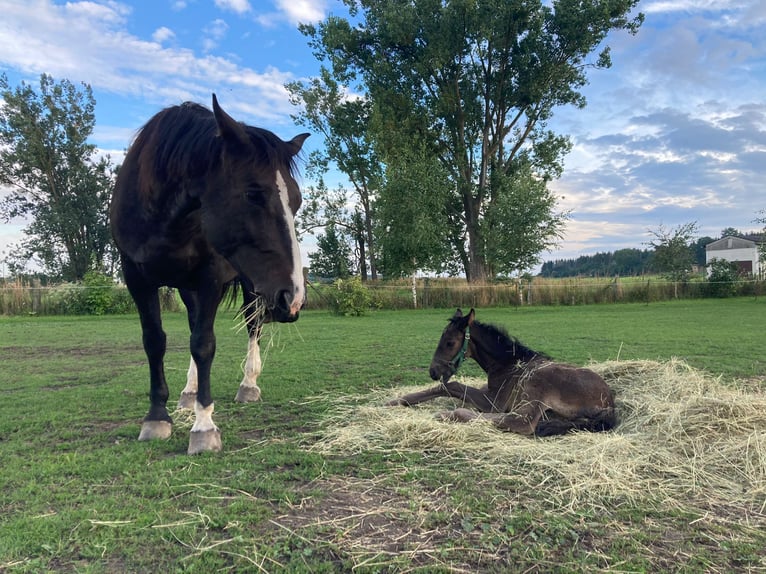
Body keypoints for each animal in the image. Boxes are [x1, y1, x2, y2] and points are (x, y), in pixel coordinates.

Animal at [109, 94, 312, 454]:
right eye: (253, 193)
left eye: (297, 201)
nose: (294, 297)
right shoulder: (137, 277)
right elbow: (155, 341)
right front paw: (157, 417)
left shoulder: (210, 279)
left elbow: (203, 344)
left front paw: (203, 426)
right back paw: (189, 393)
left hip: (251, 284)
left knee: (253, 325)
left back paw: (248, 384)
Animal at [390, 310, 616, 436]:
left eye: (450, 342)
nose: (433, 371)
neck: (507, 364)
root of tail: (609, 402)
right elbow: (445, 386)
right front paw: (397, 401)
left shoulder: (494, 402)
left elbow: (451, 385)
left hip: (536, 386)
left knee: (521, 421)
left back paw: (449, 414)